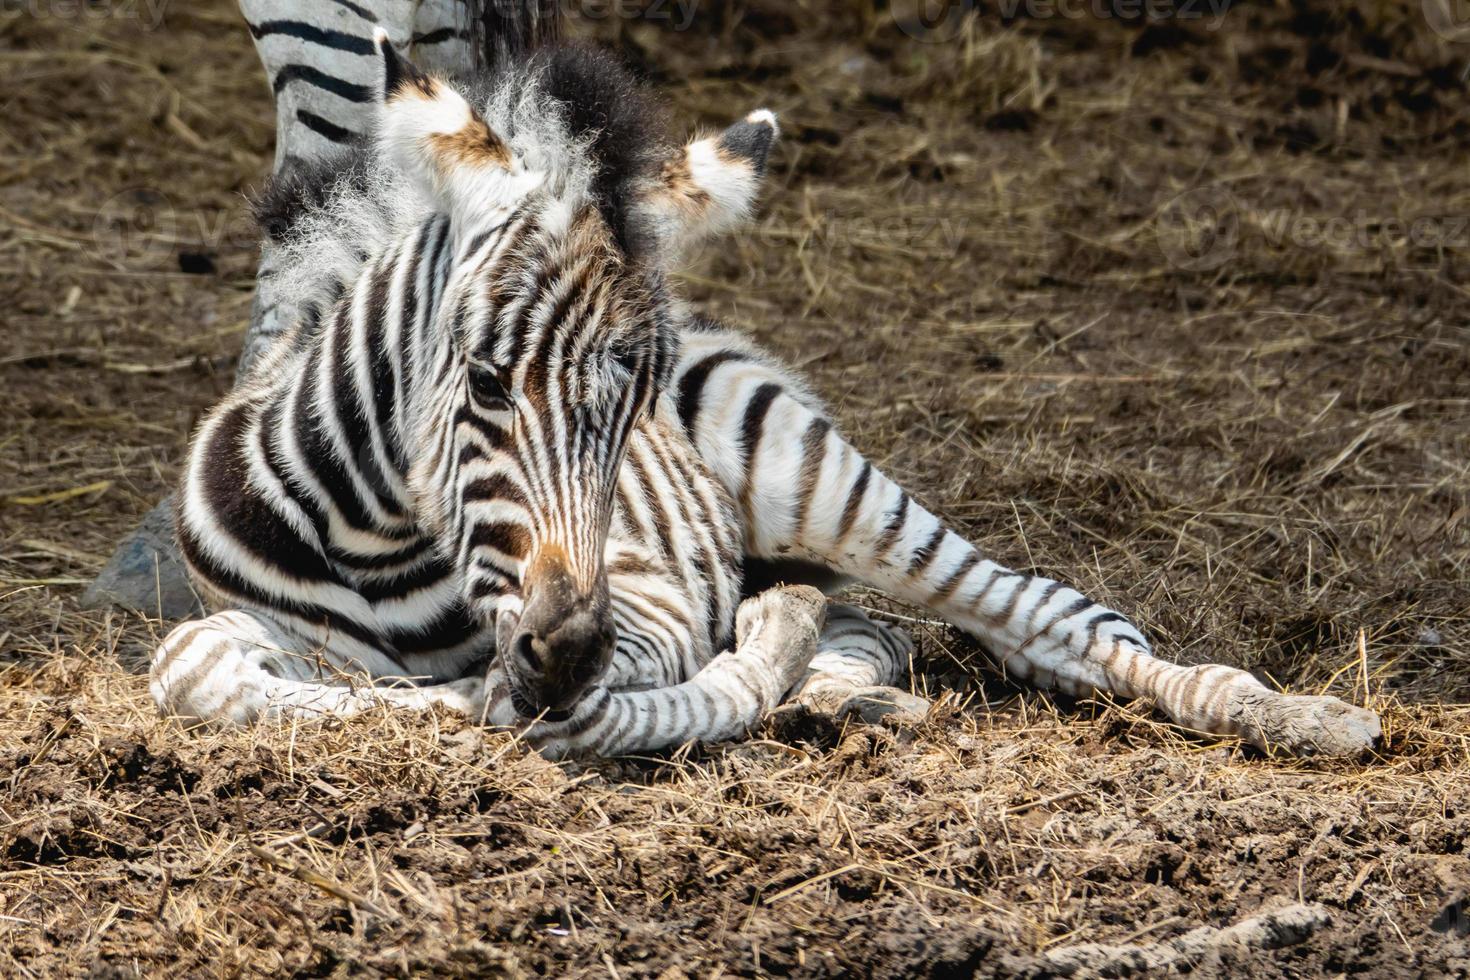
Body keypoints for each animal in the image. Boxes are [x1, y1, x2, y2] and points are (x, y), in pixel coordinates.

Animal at [149, 5, 1375, 758]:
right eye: (487, 381)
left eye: (635, 410)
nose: (567, 649)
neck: (377, 539)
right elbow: (197, 666)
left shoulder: (643, 605)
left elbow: (568, 707)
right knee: (884, 628)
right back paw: (848, 691)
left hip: (808, 476)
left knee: (1046, 613)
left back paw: (1302, 716)